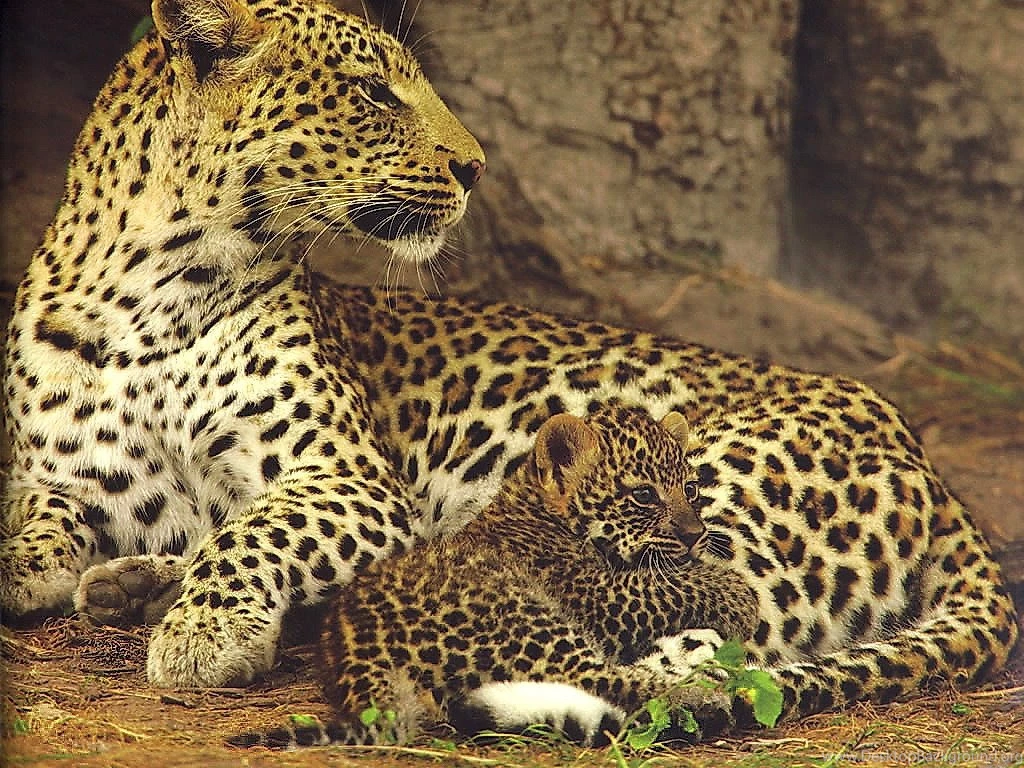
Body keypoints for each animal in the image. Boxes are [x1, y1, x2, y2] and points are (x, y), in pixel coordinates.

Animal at [231, 404, 758, 748]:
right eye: (645, 495)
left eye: (691, 489)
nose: (696, 533)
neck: (535, 506)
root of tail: (359, 660)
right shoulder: (597, 595)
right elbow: (669, 583)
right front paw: (741, 598)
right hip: (524, 619)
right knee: (610, 682)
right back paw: (708, 698)